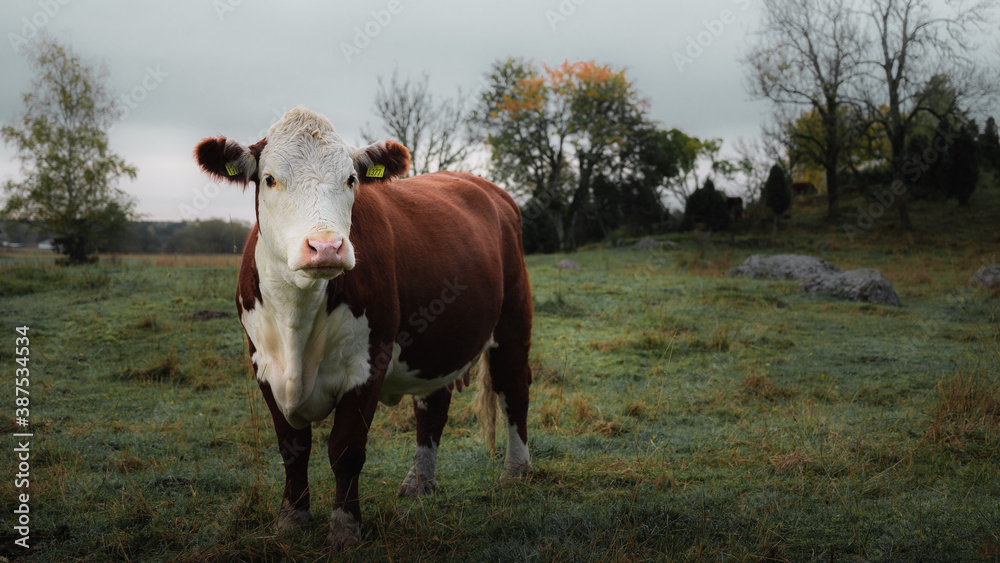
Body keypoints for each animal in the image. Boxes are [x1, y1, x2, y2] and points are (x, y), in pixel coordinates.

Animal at [194, 107, 533, 549]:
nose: (326, 247)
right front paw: (292, 517)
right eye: (269, 179)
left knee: (514, 388)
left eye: (351, 179)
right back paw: (419, 482)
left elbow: (346, 449)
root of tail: (486, 186)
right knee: (432, 406)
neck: (296, 322)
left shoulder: (368, 363)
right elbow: (292, 447)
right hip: (437, 342)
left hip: (513, 319)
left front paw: (345, 527)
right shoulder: (263, 366)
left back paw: (516, 470)